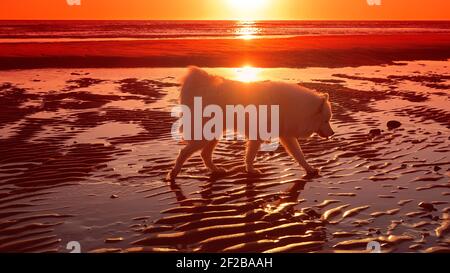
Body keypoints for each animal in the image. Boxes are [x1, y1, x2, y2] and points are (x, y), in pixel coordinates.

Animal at [166, 66, 334, 181]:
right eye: (326, 120)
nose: (333, 134)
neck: (296, 107)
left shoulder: (285, 136)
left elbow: (299, 155)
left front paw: (310, 169)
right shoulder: (259, 135)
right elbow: (251, 155)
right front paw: (251, 170)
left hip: (214, 134)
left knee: (204, 154)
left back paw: (216, 170)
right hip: (205, 135)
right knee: (185, 152)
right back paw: (173, 173)